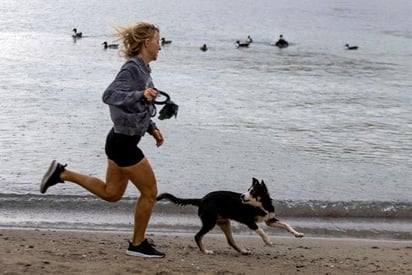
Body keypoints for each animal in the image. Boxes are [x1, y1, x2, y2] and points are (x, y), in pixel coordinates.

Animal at [156, 178, 304, 256]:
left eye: (253, 191)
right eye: (248, 190)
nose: (242, 196)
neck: (260, 205)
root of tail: (202, 199)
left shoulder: (270, 220)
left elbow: (286, 225)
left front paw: (297, 234)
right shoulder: (249, 221)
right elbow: (261, 230)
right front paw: (267, 240)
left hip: (224, 222)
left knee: (230, 241)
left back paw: (243, 251)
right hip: (210, 222)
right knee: (197, 236)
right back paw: (205, 251)